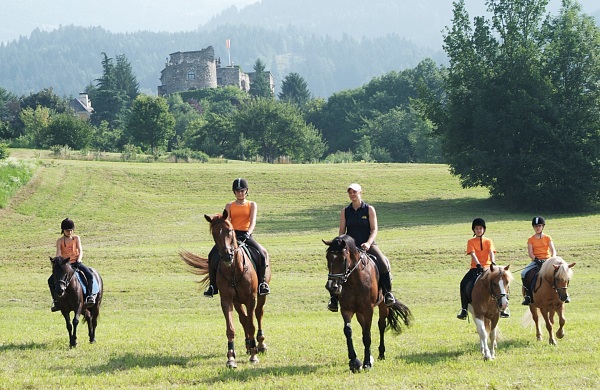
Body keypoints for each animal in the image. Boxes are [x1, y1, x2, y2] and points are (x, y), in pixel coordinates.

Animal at [179, 212, 270, 368]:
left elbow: (251, 325)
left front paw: (254, 354)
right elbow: (231, 328)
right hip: (237, 302)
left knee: (258, 314)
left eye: (230, 230)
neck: (234, 270)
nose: (227, 255)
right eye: (214, 233)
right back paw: (248, 345)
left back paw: (260, 344)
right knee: (243, 319)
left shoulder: (251, 299)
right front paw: (231, 358)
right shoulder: (227, 300)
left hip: (260, 295)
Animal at [324, 235, 412, 372]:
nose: (331, 286)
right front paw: (354, 361)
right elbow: (348, 331)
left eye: (342, 259)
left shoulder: (368, 309)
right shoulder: (346, 309)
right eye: (327, 258)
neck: (354, 280)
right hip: (359, 312)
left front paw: (366, 363)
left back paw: (381, 354)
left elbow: (367, 335)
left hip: (383, 306)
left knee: (381, 325)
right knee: (364, 327)